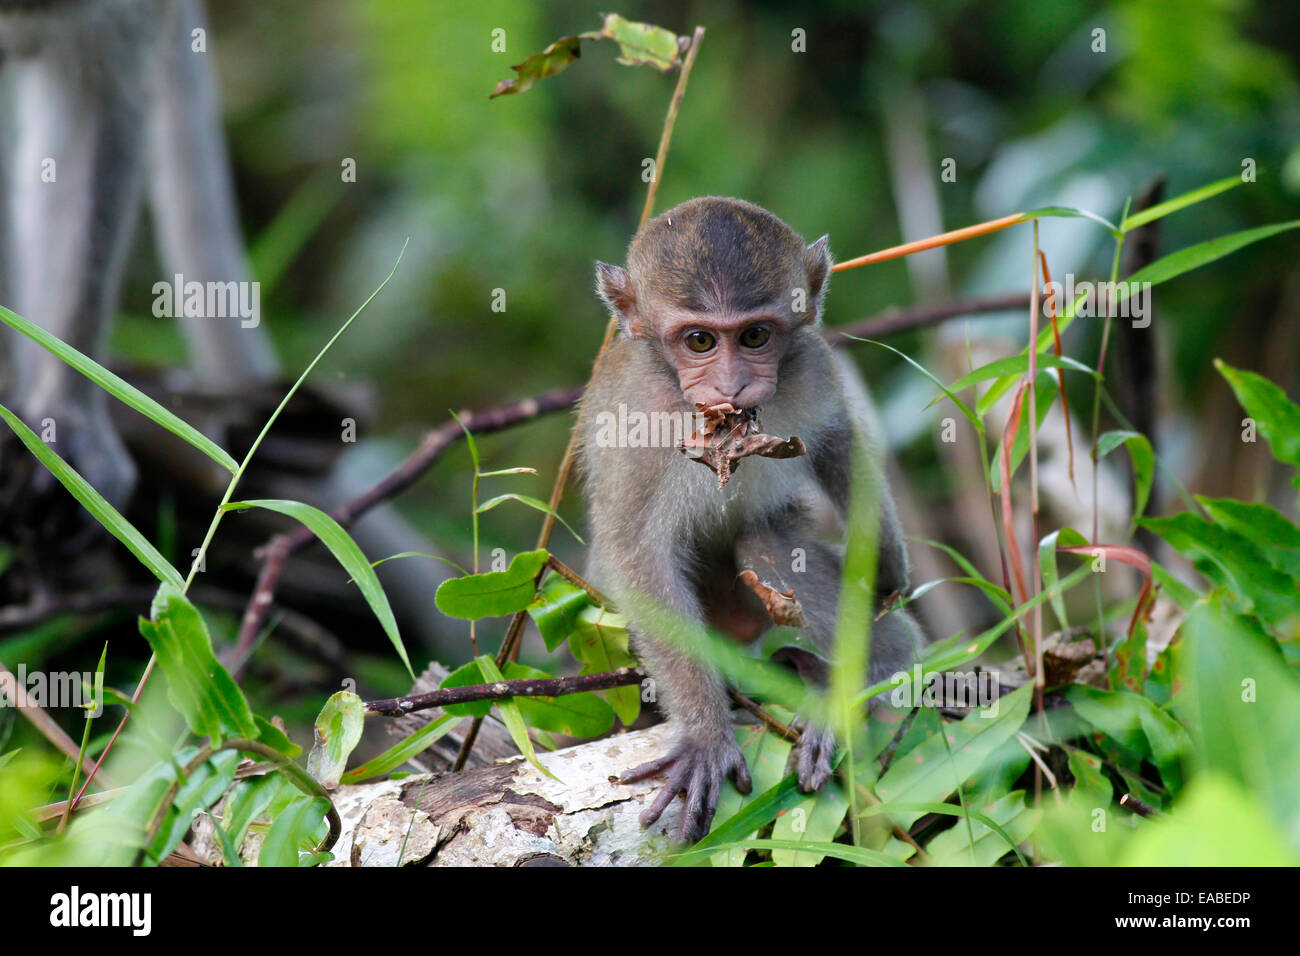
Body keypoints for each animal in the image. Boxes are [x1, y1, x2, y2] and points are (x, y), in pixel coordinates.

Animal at [577, 196, 927, 843]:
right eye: (698, 340)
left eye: (756, 335)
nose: (732, 384)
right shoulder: (639, 412)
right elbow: (637, 553)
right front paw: (706, 735)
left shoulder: (812, 363)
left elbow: (841, 446)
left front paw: (890, 567)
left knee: (761, 536)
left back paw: (875, 663)